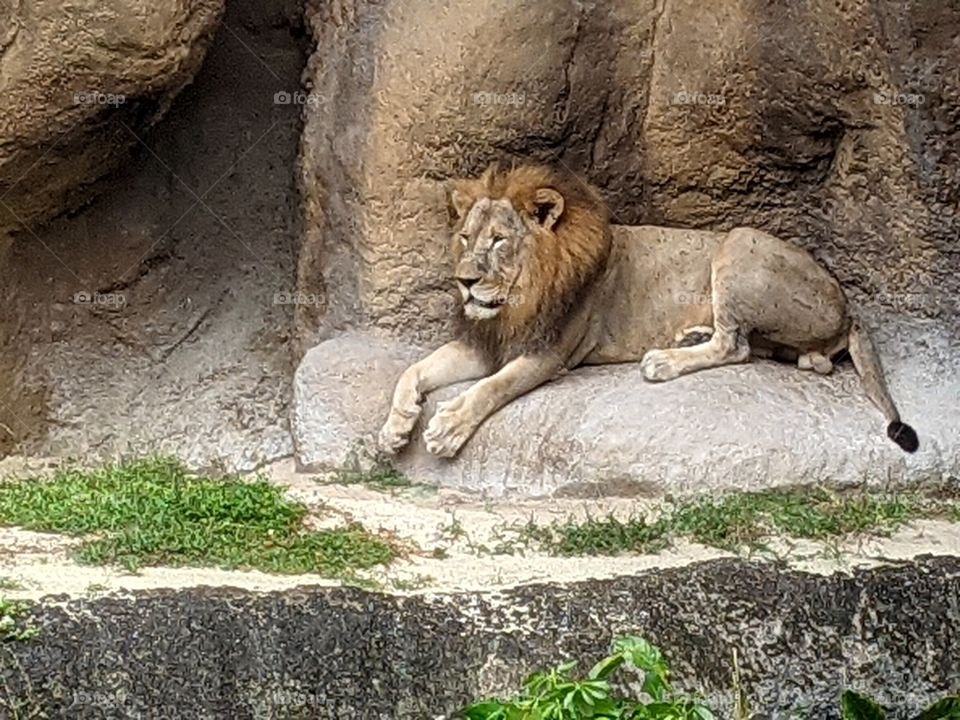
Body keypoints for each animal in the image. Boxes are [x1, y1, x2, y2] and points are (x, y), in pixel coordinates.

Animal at [378, 164, 918, 458]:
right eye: (466, 238)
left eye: (498, 242)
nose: (464, 280)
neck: (516, 301)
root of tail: (848, 307)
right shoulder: (485, 342)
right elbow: (414, 370)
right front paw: (396, 426)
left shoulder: (549, 353)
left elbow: (493, 387)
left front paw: (447, 428)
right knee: (782, 352)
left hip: (739, 242)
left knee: (736, 346)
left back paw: (664, 360)